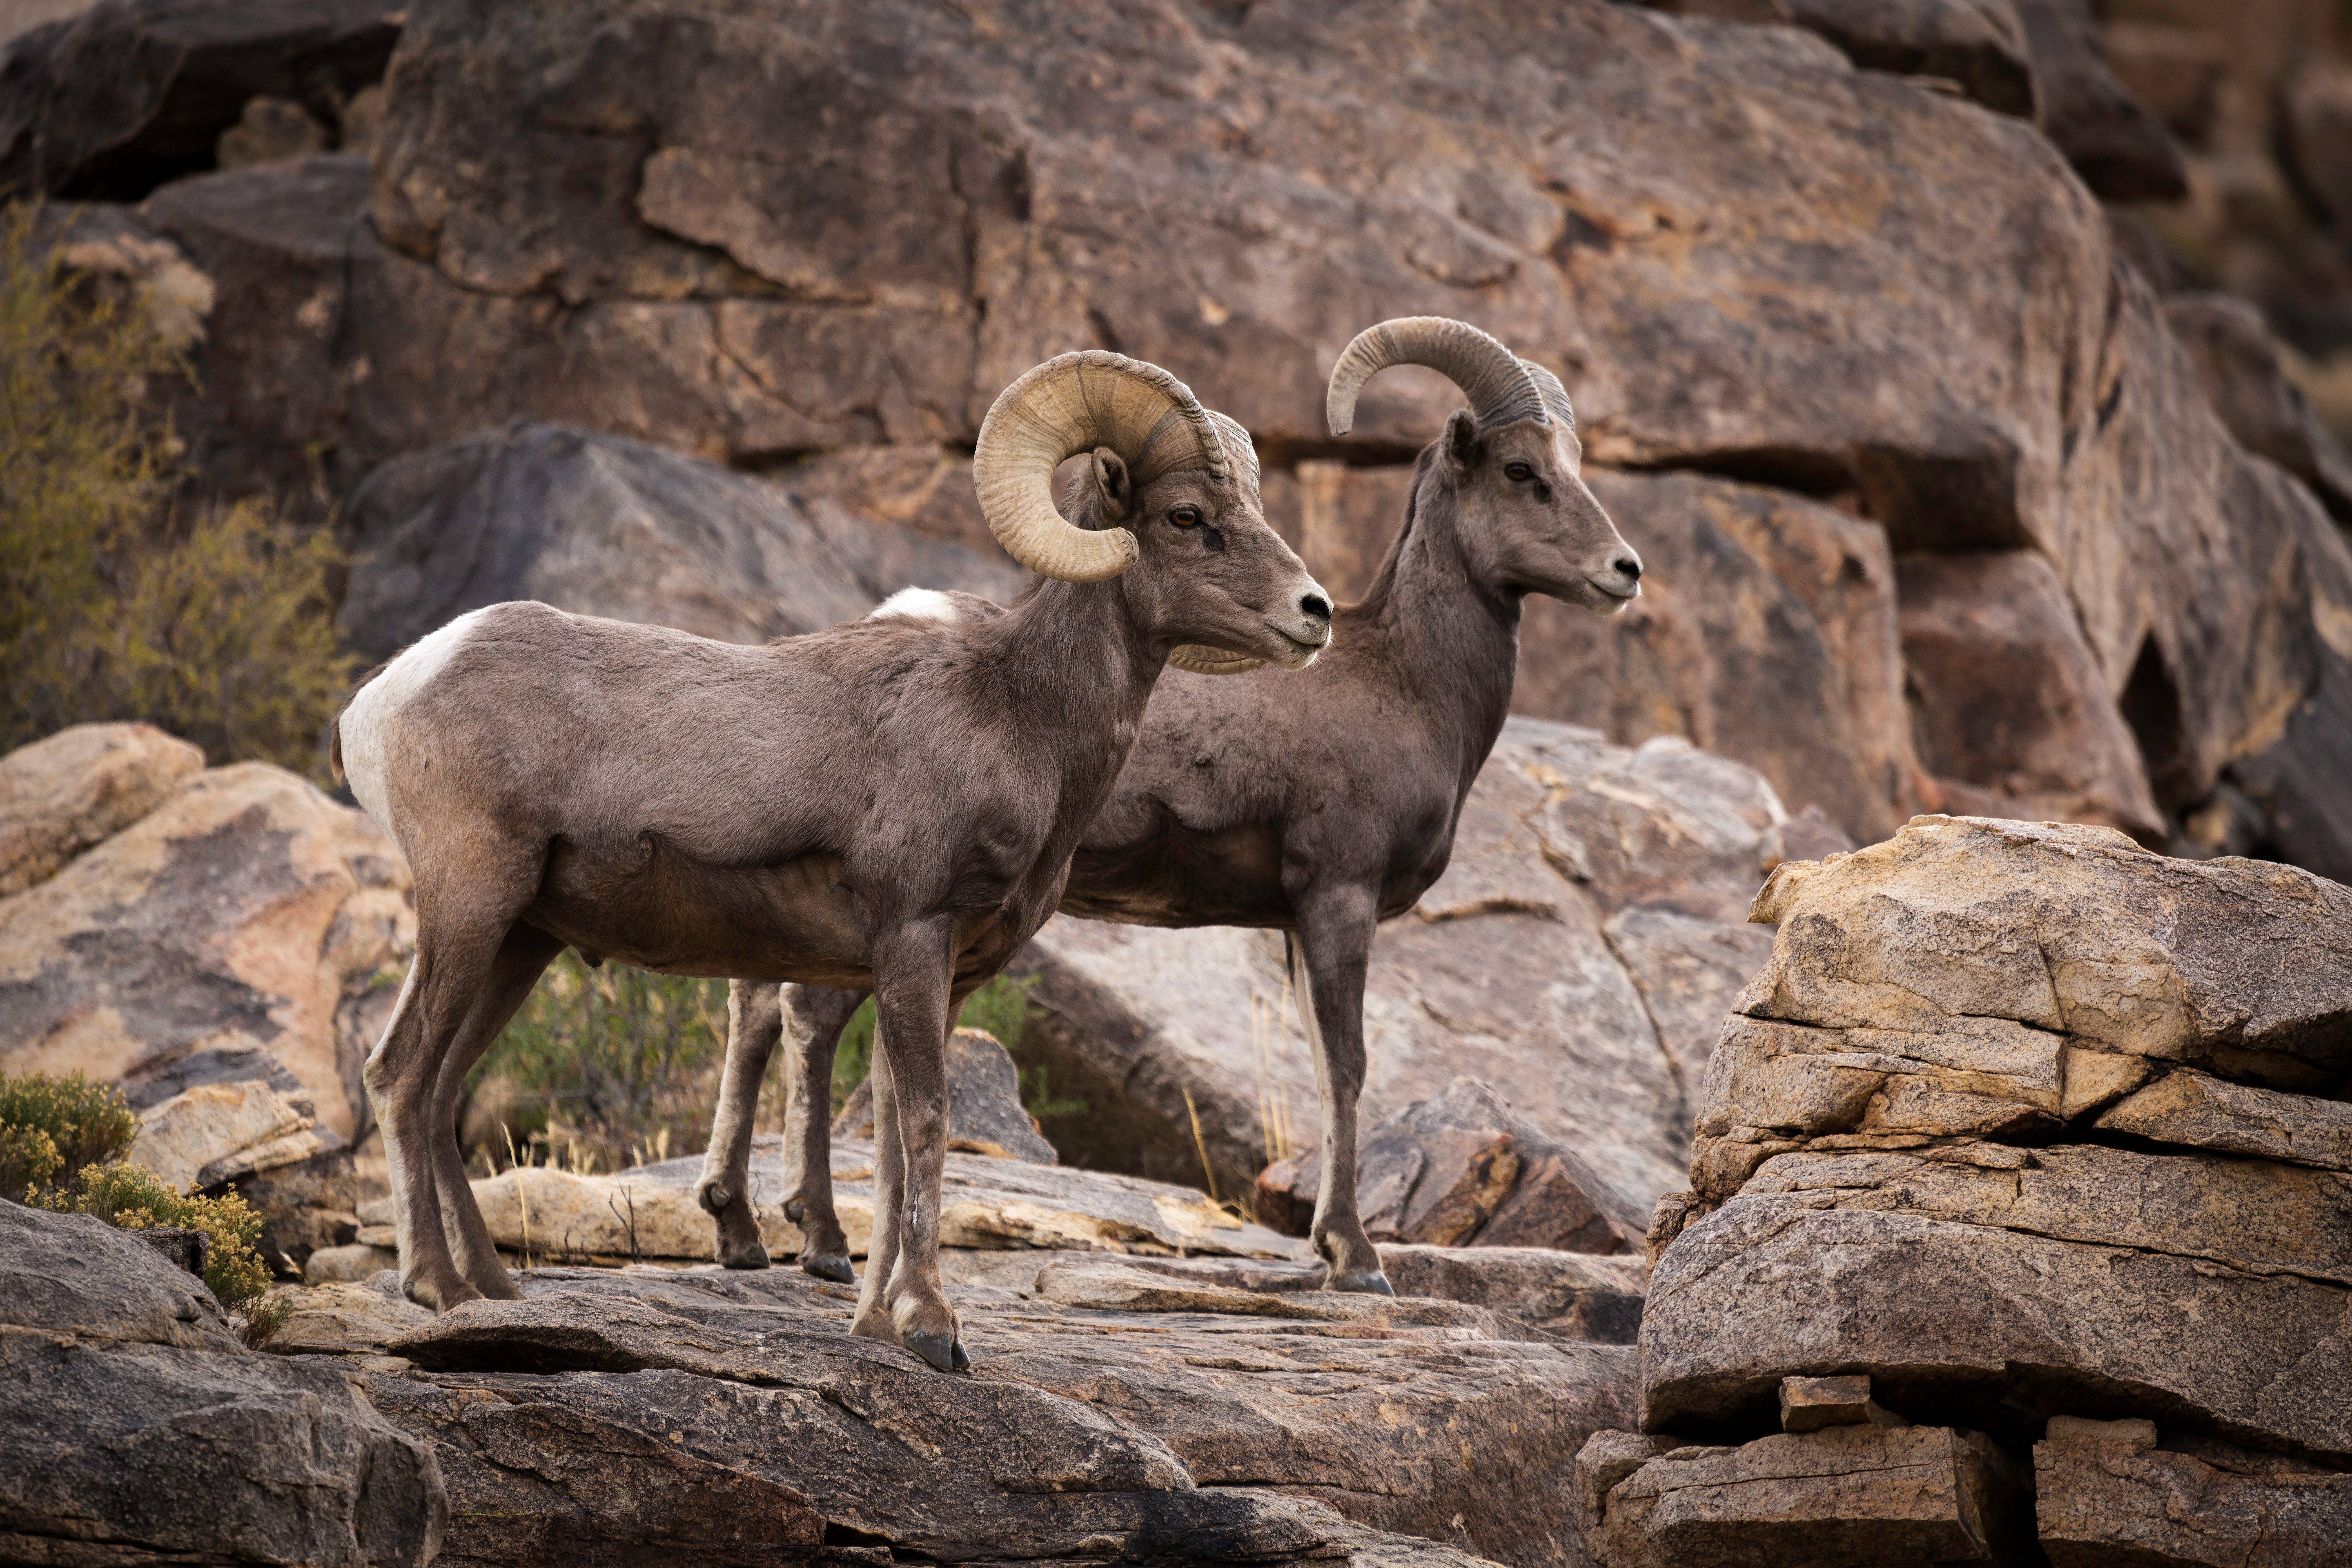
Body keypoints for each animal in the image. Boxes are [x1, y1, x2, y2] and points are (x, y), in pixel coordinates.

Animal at [330, 350, 1332, 1370]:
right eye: (1186, 517)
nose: (1314, 612)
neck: (1019, 713)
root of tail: (388, 695)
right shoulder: (915, 941)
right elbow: (925, 1125)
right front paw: (933, 1329)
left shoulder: (938, 975)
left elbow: (889, 1141)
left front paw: (876, 1320)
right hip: (471, 908)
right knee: (401, 1074)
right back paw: (436, 1287)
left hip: (522, 942)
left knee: (443, 1088)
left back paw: (493, 1291)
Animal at [695, 317, 1641, 1296]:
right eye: (1521, 471)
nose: (1626, 571)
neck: (1410, 683)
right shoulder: (1338, 898)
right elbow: (1347, 1069)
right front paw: (1356, 1259)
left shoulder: (1296, 926)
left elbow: (1320, 1063)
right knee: (807, 1020)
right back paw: (819, 1240)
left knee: (758, 1006)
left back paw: (744, 1228)